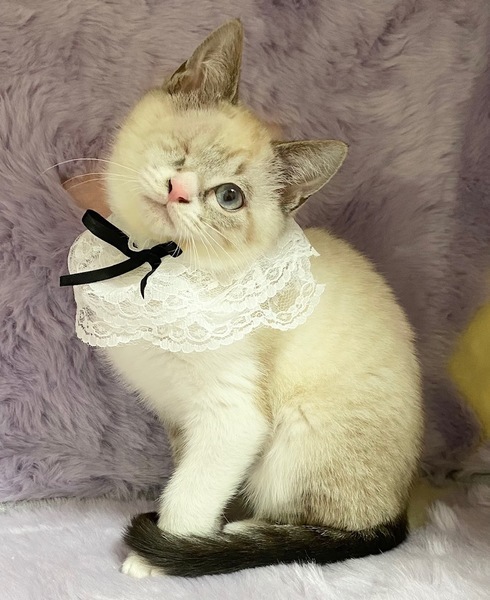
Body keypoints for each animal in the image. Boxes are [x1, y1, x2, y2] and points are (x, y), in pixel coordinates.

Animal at [100, 19, 423, 578]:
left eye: (229, 197)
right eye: (183, 148)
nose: (178, 190)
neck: (154, 268)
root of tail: (401, 509)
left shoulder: (231, 415)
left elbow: (192, 489)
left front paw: (164, 552)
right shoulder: (178, 417)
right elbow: (195, 477)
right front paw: (195, 536)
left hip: (299, 436)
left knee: (329, 525)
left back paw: (245, 534)